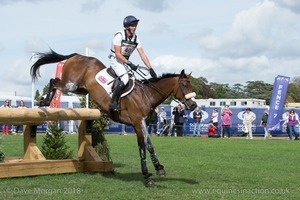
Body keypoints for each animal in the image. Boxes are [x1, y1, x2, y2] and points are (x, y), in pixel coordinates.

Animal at [30, 49, 198, 187]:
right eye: (184, 86)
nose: (193, 105)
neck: (147, 95)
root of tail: (77, 56)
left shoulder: (140, 124)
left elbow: (142, 147)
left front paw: (148, 176)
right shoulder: (139, 122)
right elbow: (148, 145)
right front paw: (158, 169)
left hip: (81, 89)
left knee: (56, 82)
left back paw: (44, 101)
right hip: (71, 84)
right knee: (54, 82)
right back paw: (43, 101)